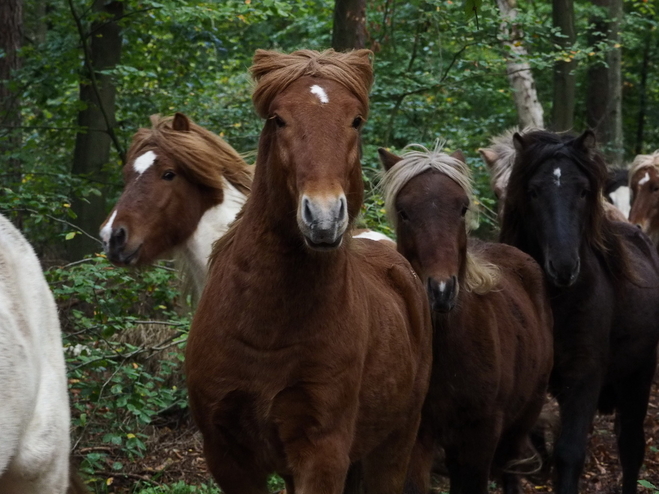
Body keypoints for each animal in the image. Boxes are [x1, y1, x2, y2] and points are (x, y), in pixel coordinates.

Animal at [184, 47, 434, 494]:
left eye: (355, 120)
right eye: (279, 119)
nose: (323, 217)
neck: (265, 330)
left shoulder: (323, 450)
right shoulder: (226, 454)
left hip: (395, 442)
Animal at [378, 143, 556, 494]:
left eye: (462, 208)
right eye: (404, 212)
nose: (441, 290)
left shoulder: (479, 437)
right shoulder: (417, 438)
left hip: (519, 423)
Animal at [500, 129, 659, 494]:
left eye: (585, 190)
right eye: (533, 191)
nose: (563, 266)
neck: (554, 302)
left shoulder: (583, 378)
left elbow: (569, 454)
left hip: (638, 376)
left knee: (631, 447)